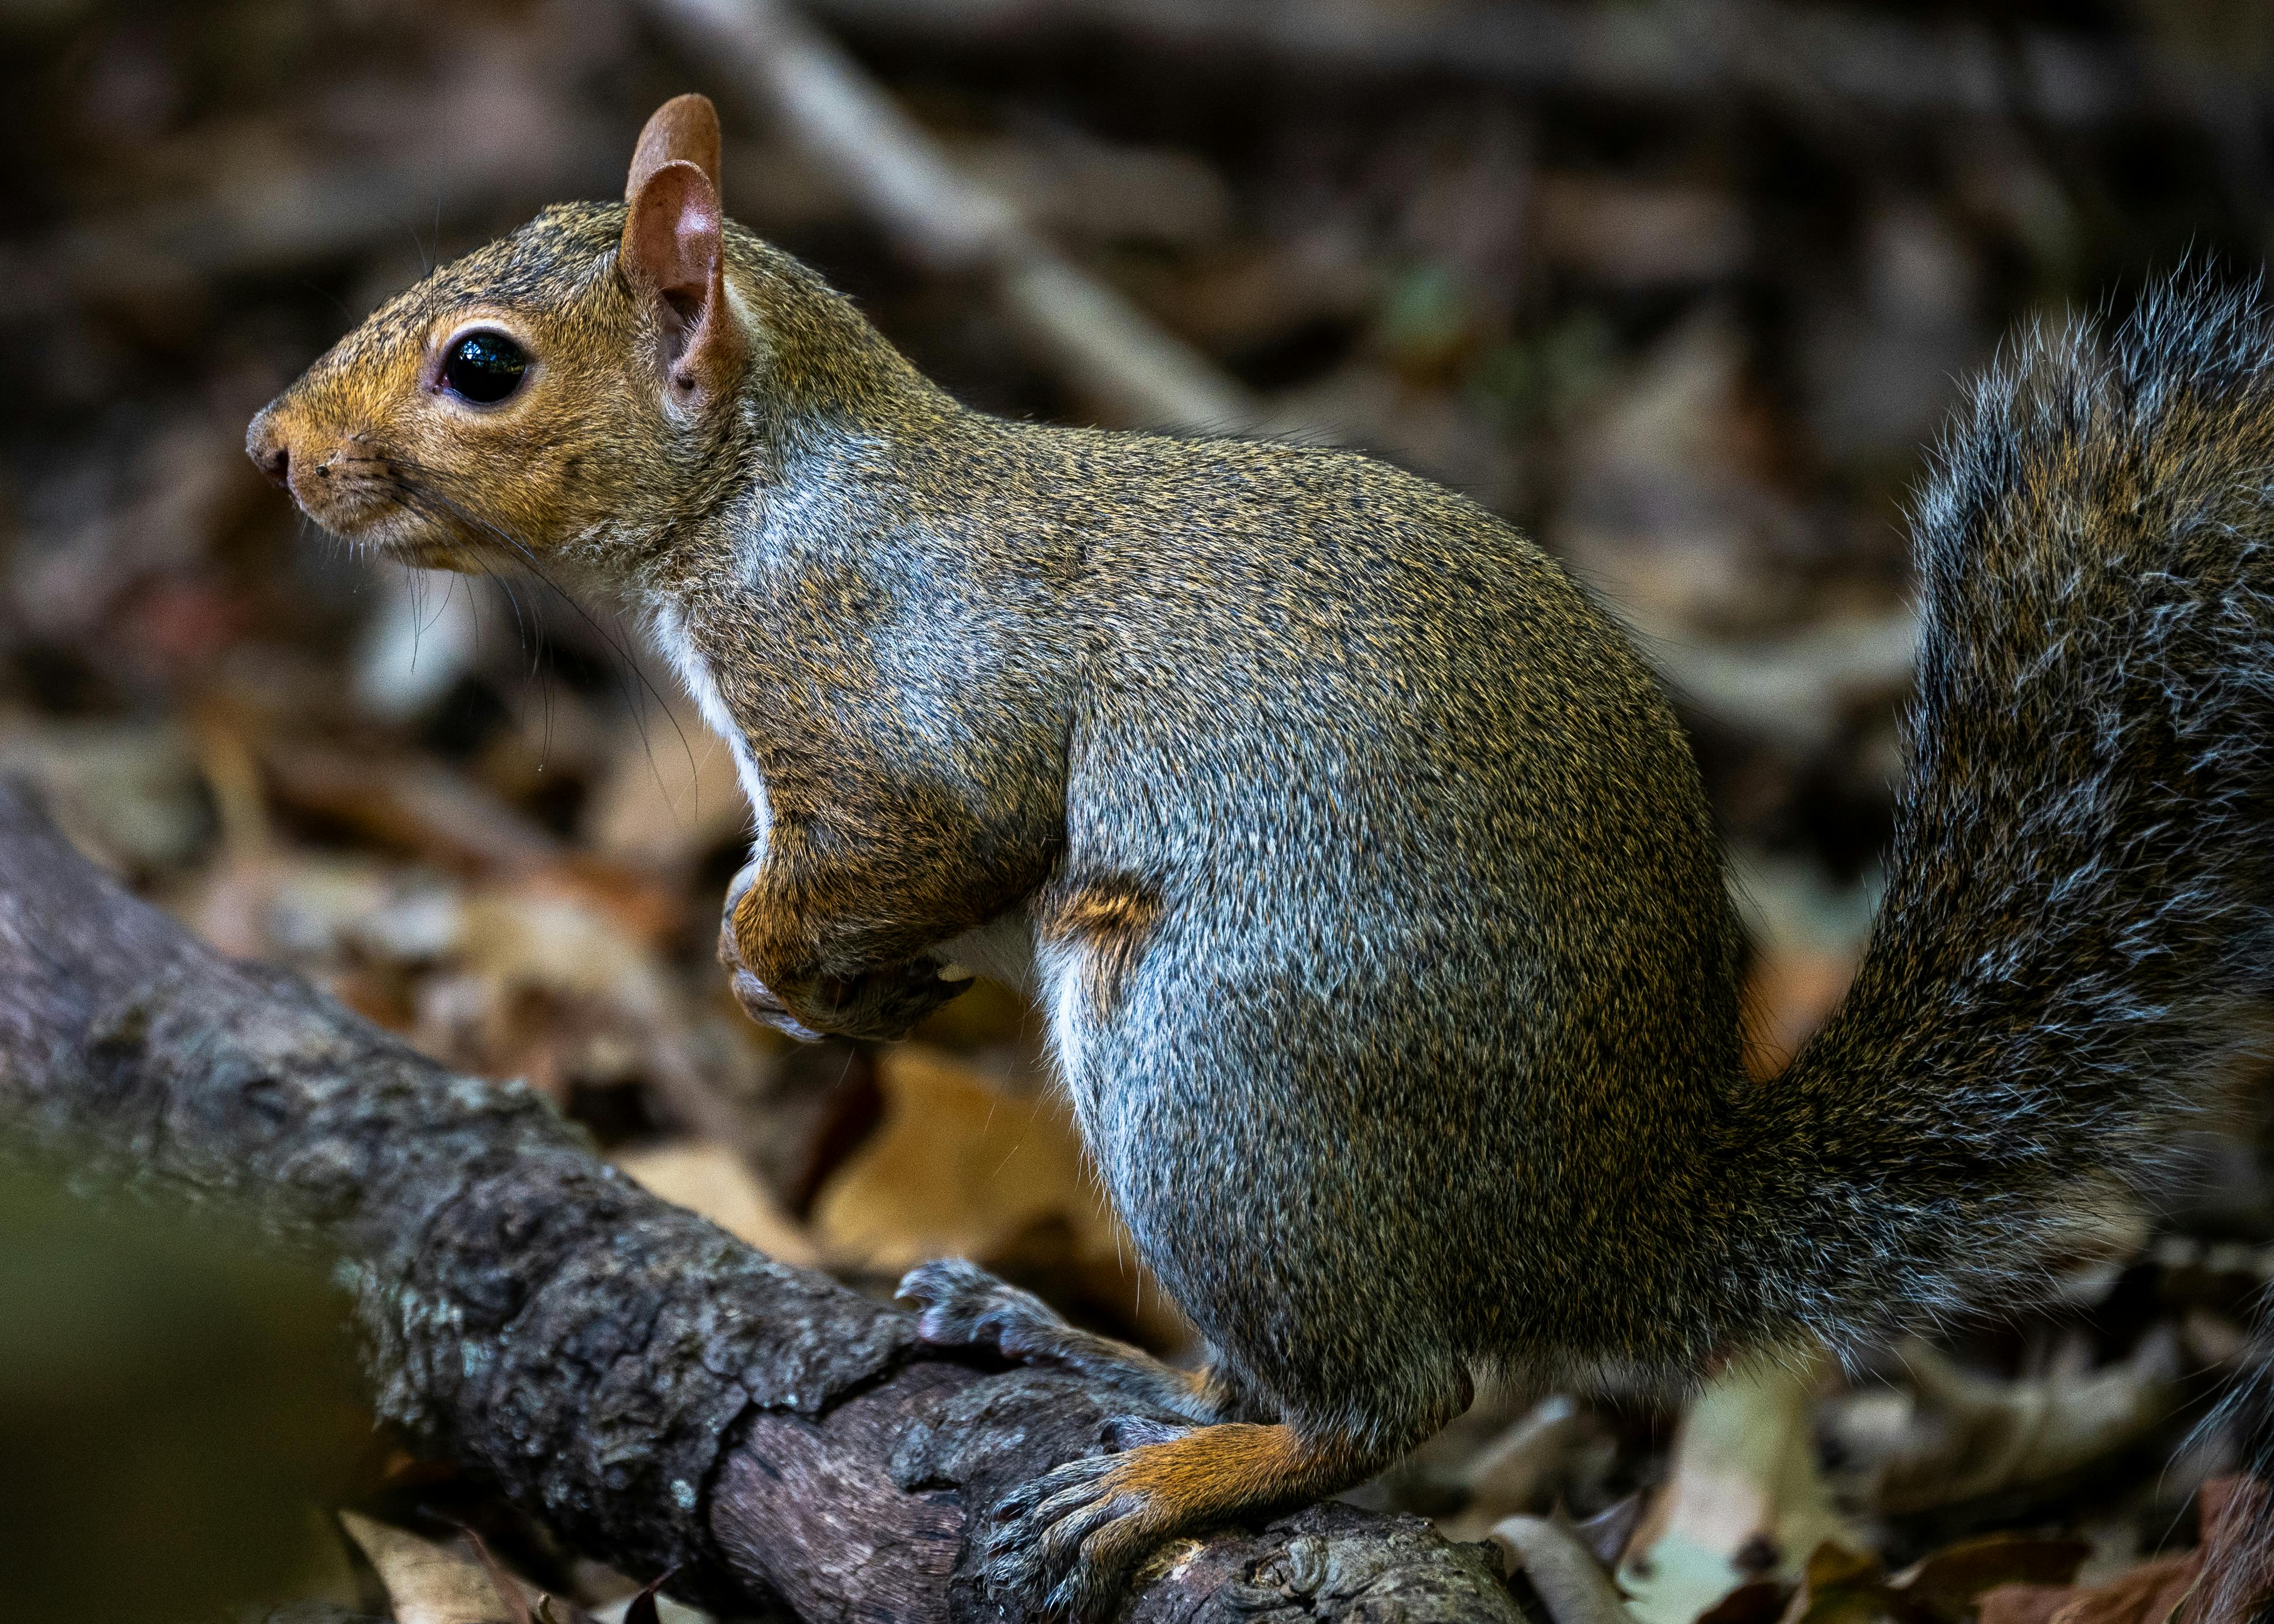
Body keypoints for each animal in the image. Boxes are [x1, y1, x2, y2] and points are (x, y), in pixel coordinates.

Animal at [244, 95, 2274, 1610]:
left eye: (483, 368)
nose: (269, 445)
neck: (760, 490)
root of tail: (1623, 1209)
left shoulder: (896, 685)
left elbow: (938, 824)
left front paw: (776, 963)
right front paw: (825, 986)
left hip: (1223, 1065)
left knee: (1390, 1393)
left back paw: (1177, 1473)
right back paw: (1077, 1357)